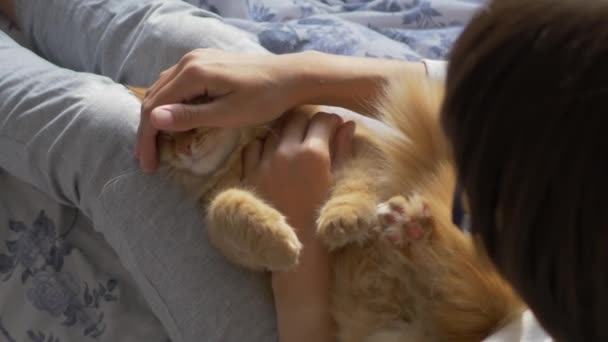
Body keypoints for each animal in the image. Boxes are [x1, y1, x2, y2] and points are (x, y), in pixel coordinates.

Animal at [127, 75, 524, 342]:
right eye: (165, 136)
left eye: (197, 106)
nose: (184, 147)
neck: (236, 159)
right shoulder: (227, 222)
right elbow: (225, 209)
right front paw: (280, 242)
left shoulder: (364, 153)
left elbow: (353, 187)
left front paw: (341, 220)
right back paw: (409, 229)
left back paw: (410, 227)